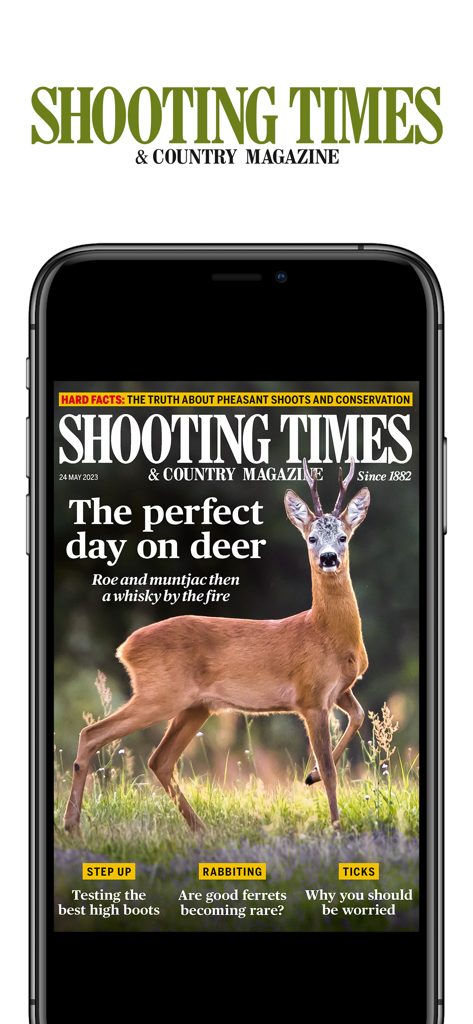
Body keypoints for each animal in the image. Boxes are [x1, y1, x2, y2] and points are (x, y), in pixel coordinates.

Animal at [64, 458, 370, 834]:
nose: (328, 558)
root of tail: (125, 648)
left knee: (159, 759)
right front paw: (336, 827)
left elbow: (359, 716)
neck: (326, 633)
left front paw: (309, 777)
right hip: (160, 694)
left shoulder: (340, 689)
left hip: (196, 706)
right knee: (92, 733)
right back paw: (72, 824)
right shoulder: (310, 697)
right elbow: (329, 770)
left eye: (343, 536)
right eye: (311, 537)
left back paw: (200, 829)